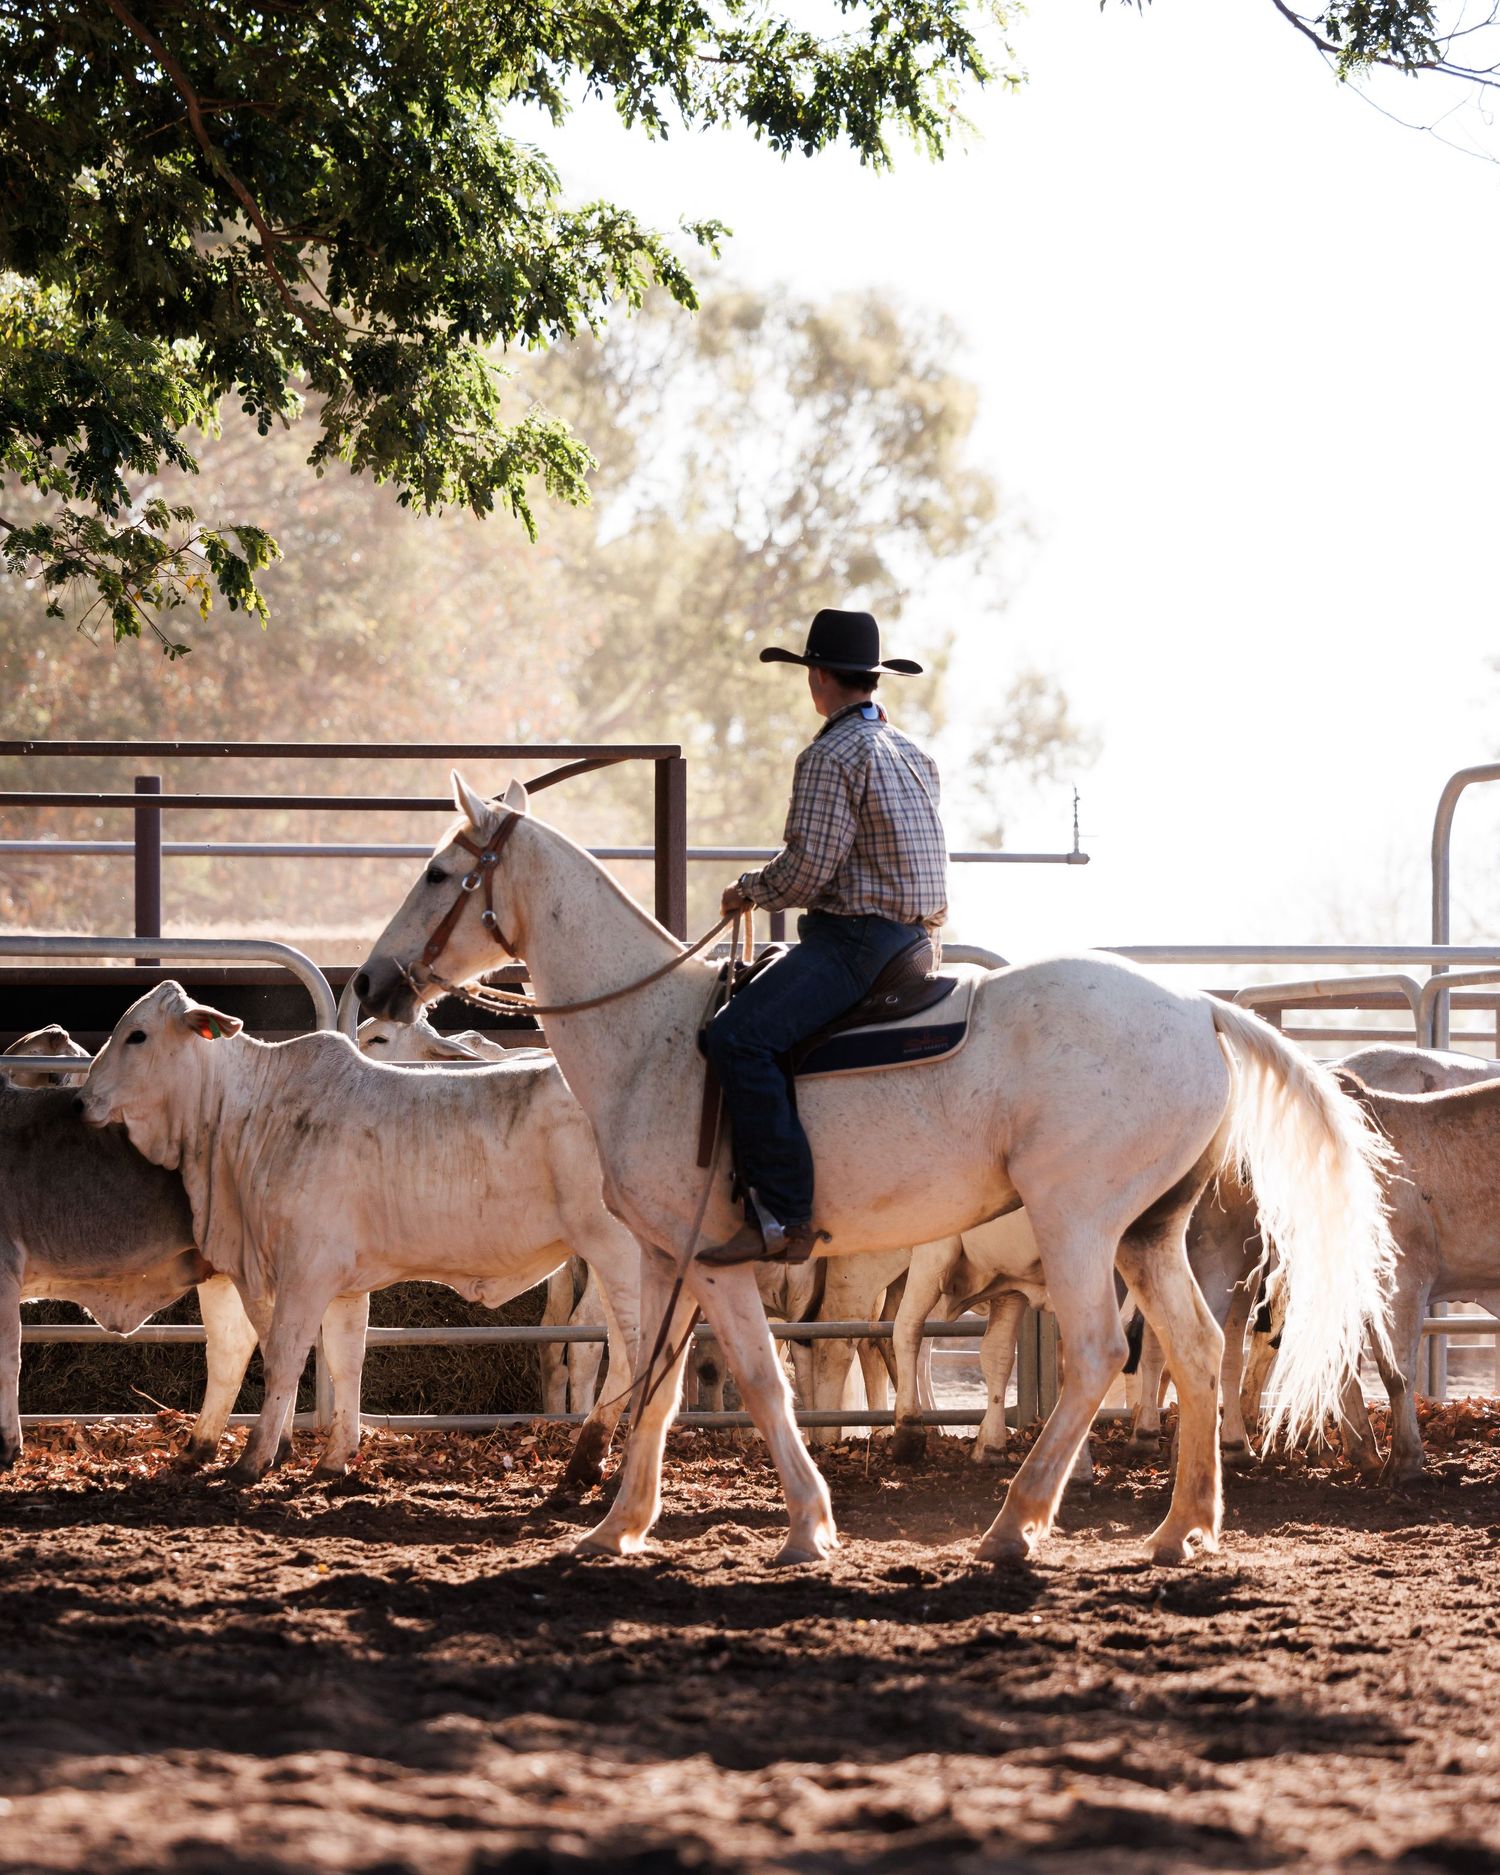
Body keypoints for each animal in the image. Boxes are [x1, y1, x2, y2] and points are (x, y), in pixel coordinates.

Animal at [80, 981, 643, 1484]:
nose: (83, 1100)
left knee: (631, 1350)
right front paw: (334, 1458)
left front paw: (254, 1459)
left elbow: (284, 1359)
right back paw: (591, 1457)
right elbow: (345, 1361)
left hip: (619, 1254)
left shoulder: (305, 1272)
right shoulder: (345, 1284)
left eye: (137, 1035)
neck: (247, 1117)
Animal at [354, 773, 1397, 1568]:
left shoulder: (721, 1261)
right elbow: (654, 1383)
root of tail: (1199, 1008)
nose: (370, 981)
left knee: (1100, 1354)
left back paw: (1014, 1526)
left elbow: (761, 1380)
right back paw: (1183, 1528)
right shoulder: (662, 1255)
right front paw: (616, 1528)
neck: (656, 1037)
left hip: (1080, 1224)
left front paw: (808, 1529)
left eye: (439, 871)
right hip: (1147, 1232)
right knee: (1199, 1349)